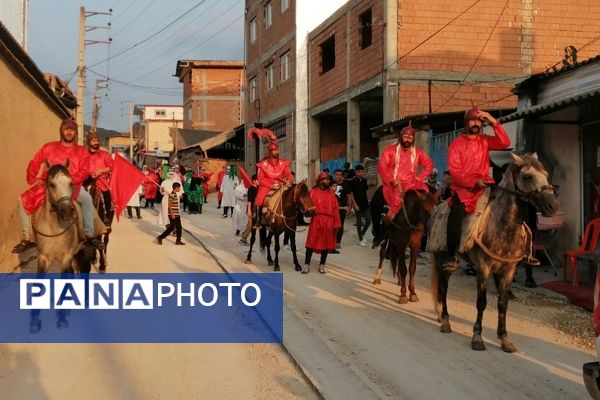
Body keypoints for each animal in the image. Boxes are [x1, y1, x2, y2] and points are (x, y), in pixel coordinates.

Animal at [432, 153, 556, 354]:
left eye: (546, 174)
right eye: (528, 176)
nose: (552, 205)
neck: (502, 226)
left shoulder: (508, 270)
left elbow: (503, 303)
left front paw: (504, 338)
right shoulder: (484, 269)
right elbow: (481, 303)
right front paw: (477, 337)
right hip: (442, 258)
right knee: (443, 288)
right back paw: (445, 321)